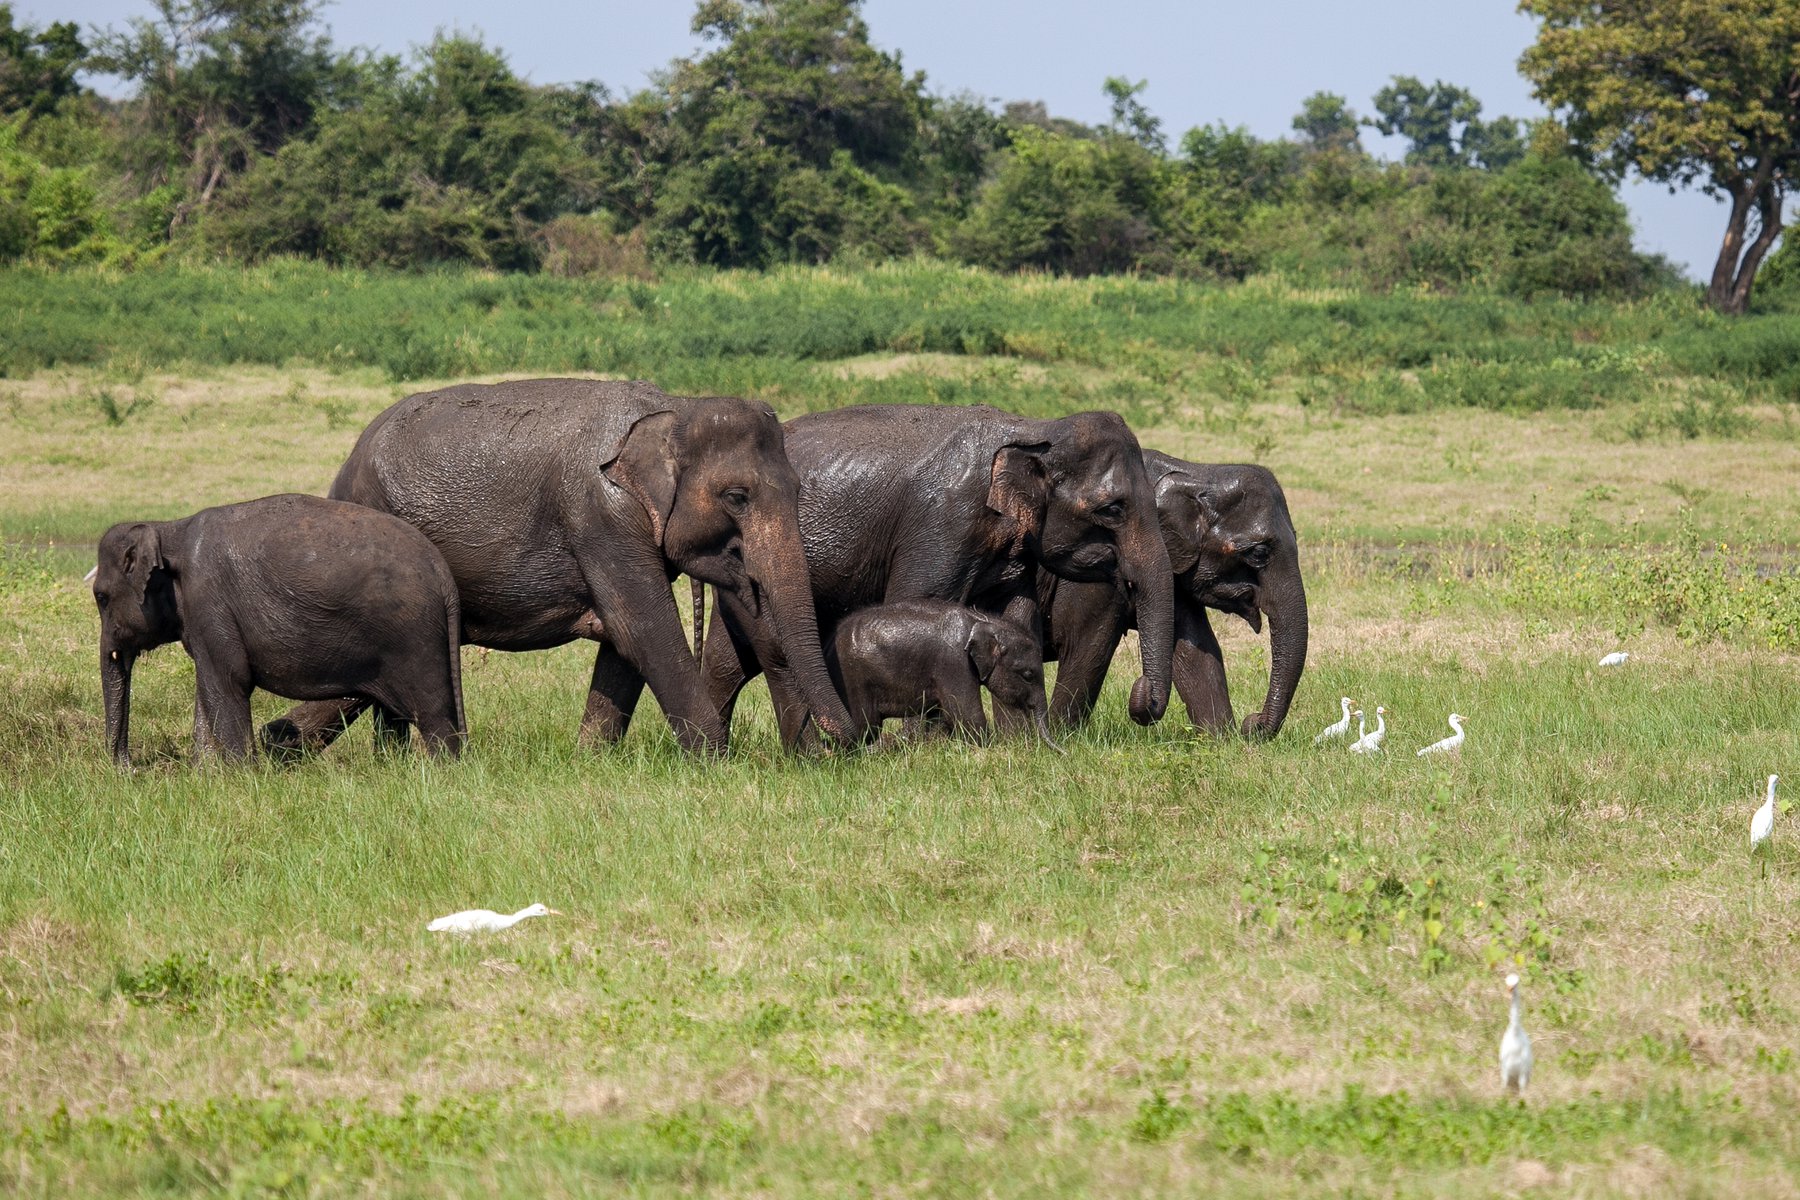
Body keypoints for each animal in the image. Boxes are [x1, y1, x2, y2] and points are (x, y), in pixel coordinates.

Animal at [94, 492, 468, 766]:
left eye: (101, 597)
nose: (127, 768)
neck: (168, 529)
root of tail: (443, 575)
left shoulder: (210, 602)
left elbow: (227, 681)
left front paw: (240, 776)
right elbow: (209, 685)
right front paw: (206, 774)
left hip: (413, 638)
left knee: (432, 713)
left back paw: (442, 770)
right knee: (394, 714)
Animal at [266, 379, 849, 755]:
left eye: (798, 489)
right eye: (736, 497)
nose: (841, 747)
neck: (674, 409)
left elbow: (621, 647)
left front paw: (592, 760)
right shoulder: (601, 516)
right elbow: (641, 630)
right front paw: (713, 764)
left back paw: (293, 747)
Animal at [824, 600, 1058, 752]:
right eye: (1027, 674)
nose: (1059, 752)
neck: (983, 621)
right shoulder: (954, 662)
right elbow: (966, 714)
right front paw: (988, 749)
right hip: (852, 679)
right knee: (865, 726)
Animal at [1044, 456, 1310, 741]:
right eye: (1259, 553)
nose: (1253, 722)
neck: (1196, 473)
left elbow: (1196, 649)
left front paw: (1222, 741)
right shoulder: (1097, 564)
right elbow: (1085, 643)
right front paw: (1060, 739)